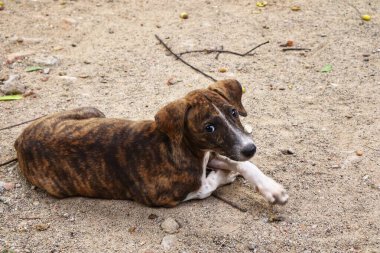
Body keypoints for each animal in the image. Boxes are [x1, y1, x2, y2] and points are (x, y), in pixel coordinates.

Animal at [14, 79, 288, 208]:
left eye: (233, 112)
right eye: (209, 128)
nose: (250, 148)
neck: (180, 147)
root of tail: (20, 139)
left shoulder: (212, 153)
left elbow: (242, 164)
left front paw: (272, 189)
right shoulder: (163, 195)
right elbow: (207, 185)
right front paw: (224, 176)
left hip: (94, 111)